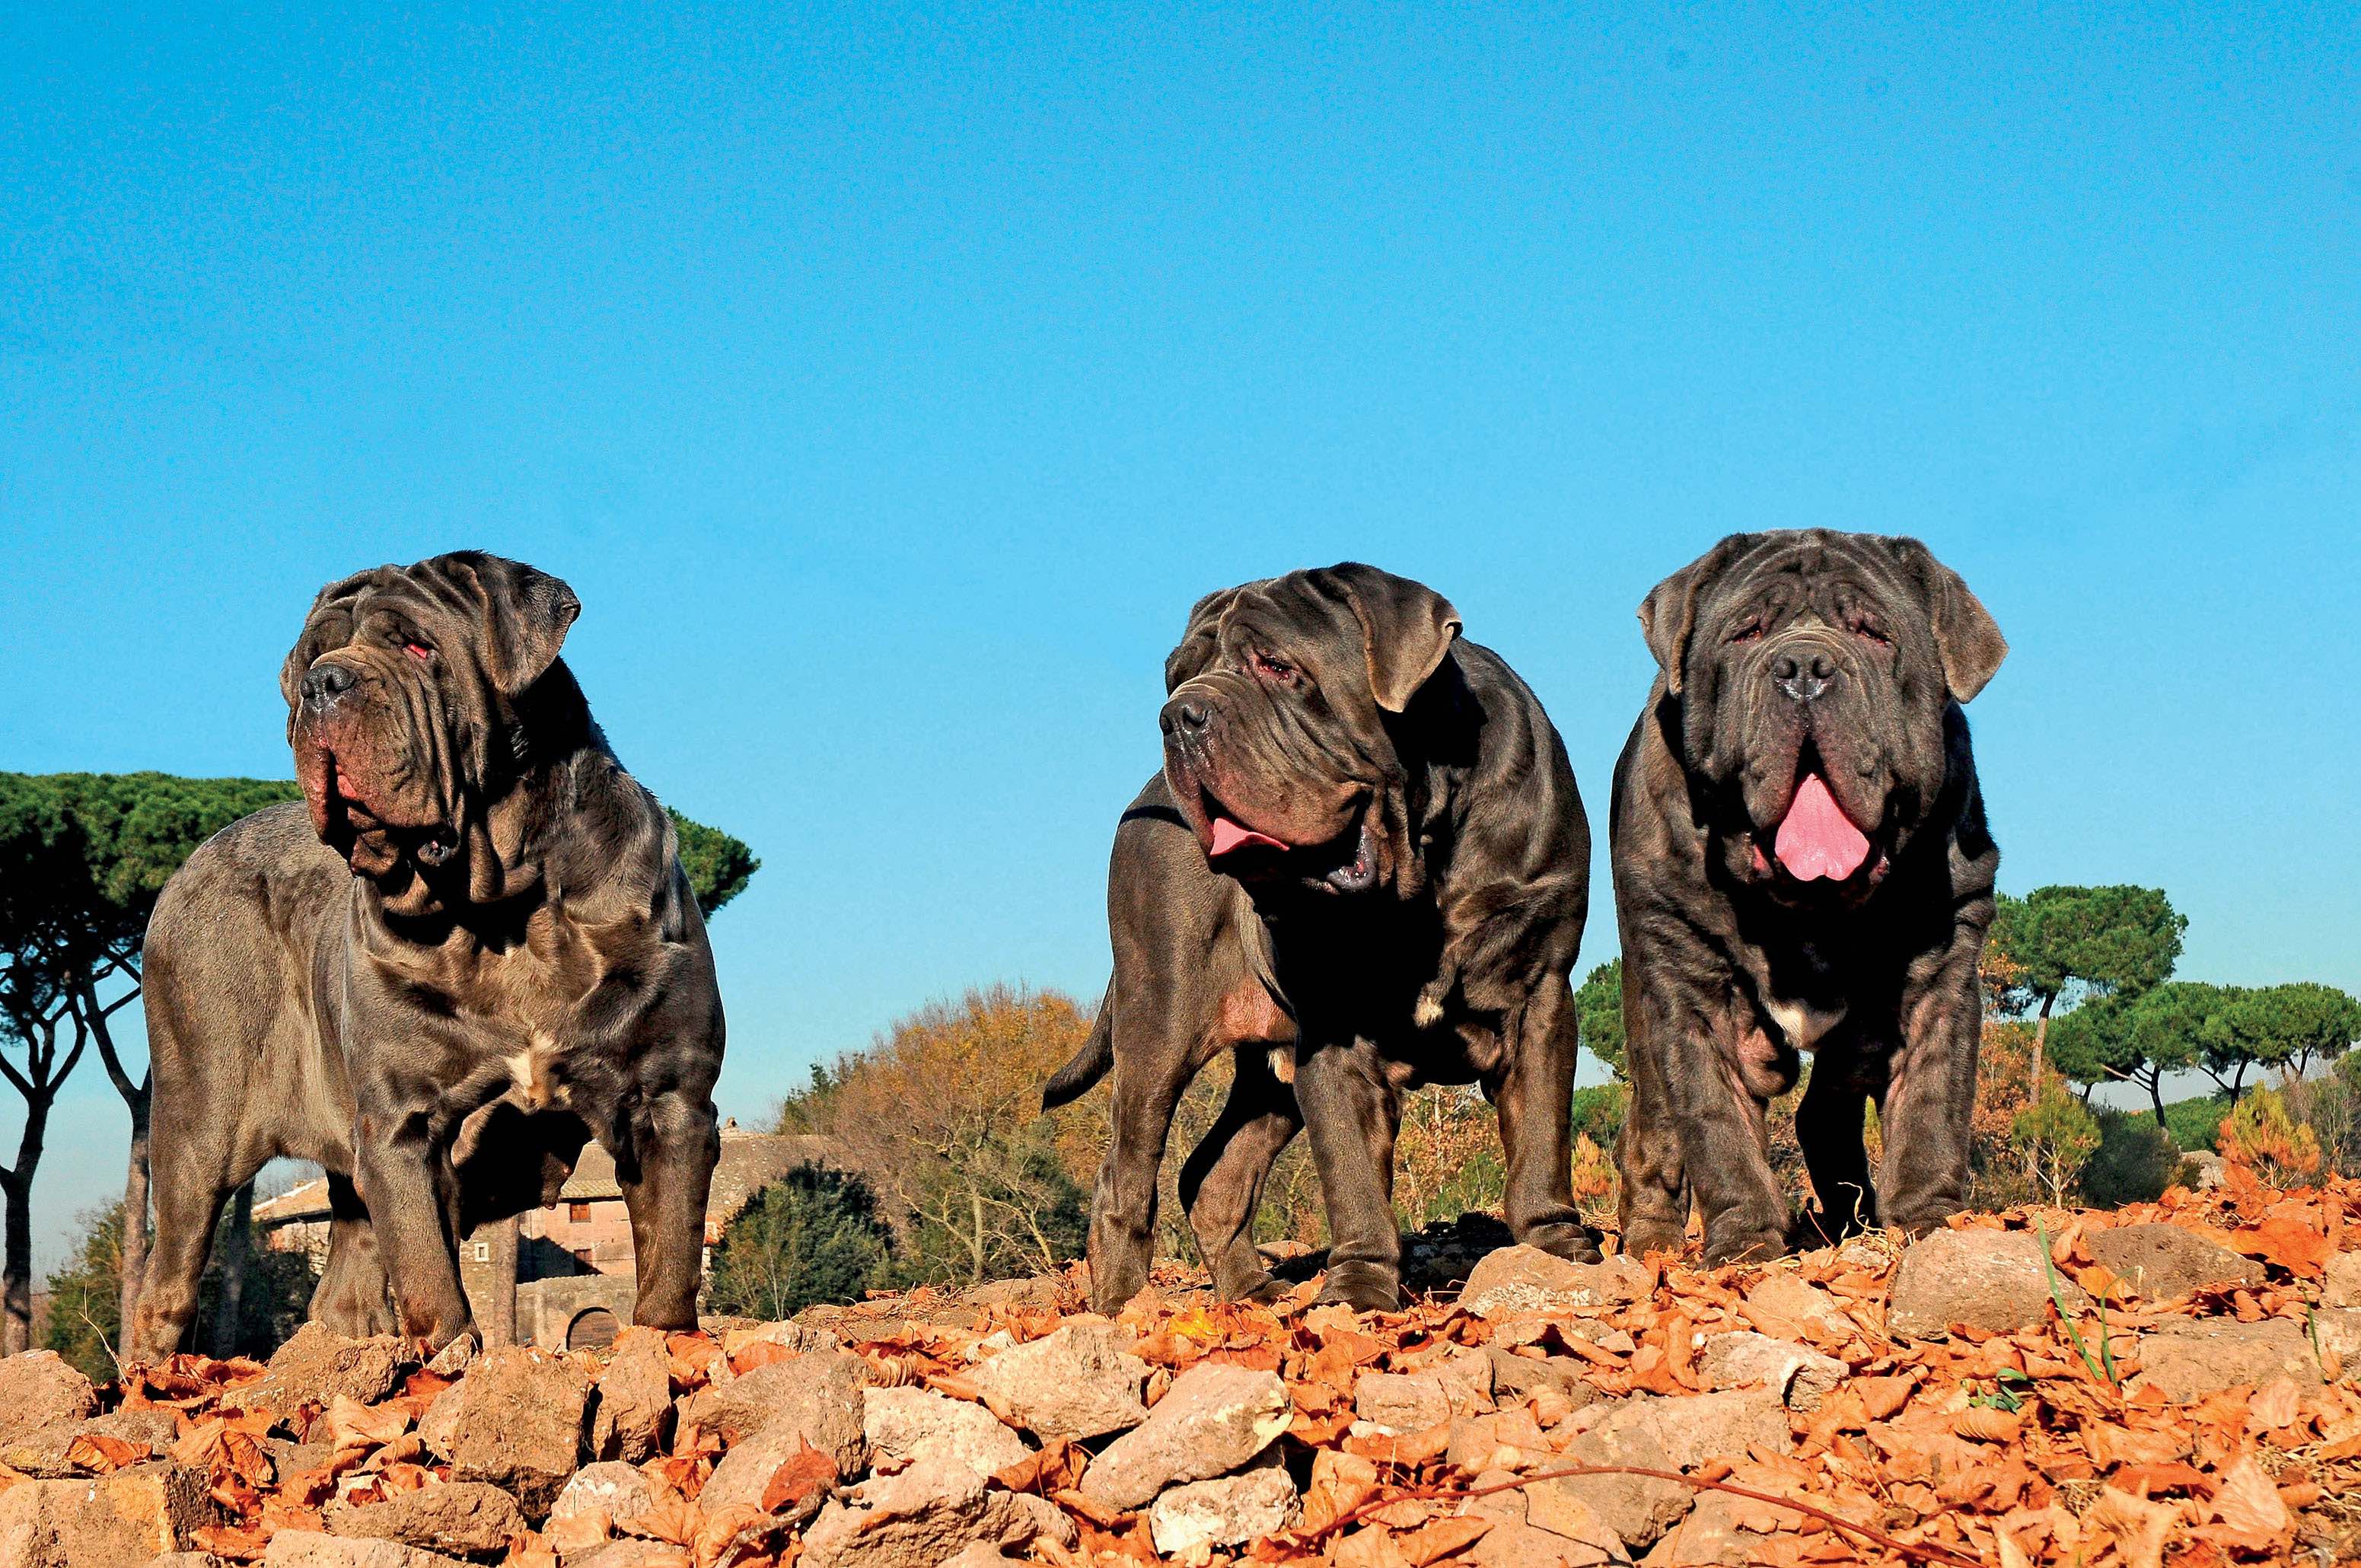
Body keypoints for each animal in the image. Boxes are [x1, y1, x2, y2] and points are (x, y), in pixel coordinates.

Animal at [126, 555, 718, 1359]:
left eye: (417, 647)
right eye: (312, 659)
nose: (323, 684)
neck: (505, 910)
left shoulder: (671, 1101)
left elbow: (670, 1263)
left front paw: (663, 1356)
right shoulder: (402, 1127)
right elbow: (432, 1280)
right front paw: (451, 1367)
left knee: (341, 1288)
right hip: (198, 1125)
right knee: (166, 1285)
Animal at [1048, 564, 1586, 1312]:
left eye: (1279, 667)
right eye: (1177, 676)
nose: (1178, 715)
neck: (1418, 867)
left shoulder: (1539, 996)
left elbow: (1541, 1136)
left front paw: (1555, 1249)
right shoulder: (1334, 1033)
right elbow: (1352, 1173)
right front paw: (1357, 1292)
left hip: (1267, 1074)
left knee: (1212, 1174)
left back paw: (1252, 1292)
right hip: (1158, 1024)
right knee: (1126, 1177)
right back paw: (1123, 1310)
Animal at [1624, 526, 2011, 1265]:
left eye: (1874, 634)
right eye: (1746, 632)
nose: (1804, 666)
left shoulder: (1941, 972)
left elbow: (1931, 1110)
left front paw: (1928, 1222)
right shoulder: (1691, 989)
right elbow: (1718, 1126)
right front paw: (1745, 1244)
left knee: (1827, 1106)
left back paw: (1851, 1217)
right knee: (1658, 1132)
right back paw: (1650, 1242)